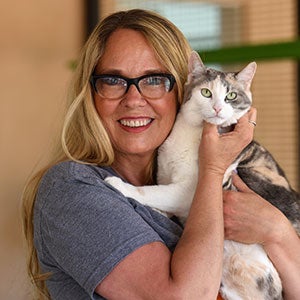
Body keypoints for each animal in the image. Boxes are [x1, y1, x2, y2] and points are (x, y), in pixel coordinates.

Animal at [103, 50, 300, 298]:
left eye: (231, 96)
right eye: (206, 93)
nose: (217, 108)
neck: (190, 132)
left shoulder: (187, 192)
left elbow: (152, 192)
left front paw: (117, 184)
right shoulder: (165, 175)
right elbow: (159, 193)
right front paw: (158, 212)